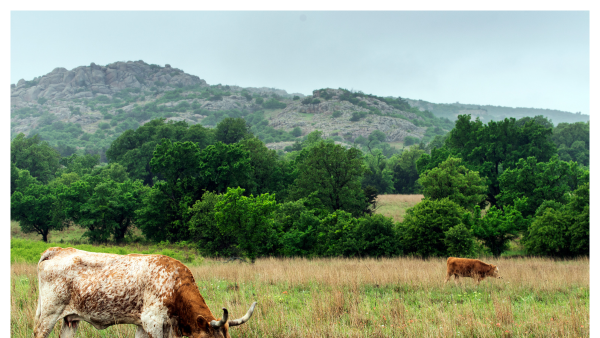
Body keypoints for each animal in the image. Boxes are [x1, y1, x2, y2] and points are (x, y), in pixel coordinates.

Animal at [33, 246, 258, 338]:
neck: (175, 287)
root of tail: (57, 250)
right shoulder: (153, 322)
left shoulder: (145, 325)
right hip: (49, 314)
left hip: (70, 319)